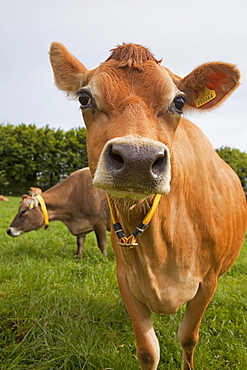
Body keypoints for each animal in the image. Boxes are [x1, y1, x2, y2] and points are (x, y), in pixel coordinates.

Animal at [49, 43, 246, 370]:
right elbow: (147, 350)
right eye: (84, 97)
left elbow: (188, 337)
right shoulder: (126, 278)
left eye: (179, 102)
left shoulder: (208, 281)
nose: (137, 159)